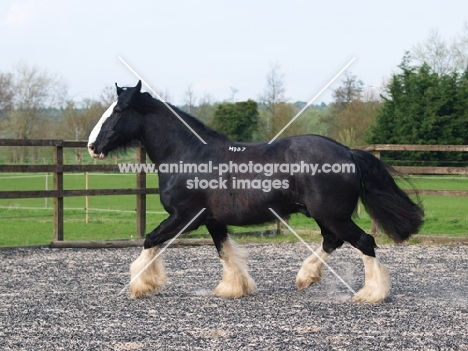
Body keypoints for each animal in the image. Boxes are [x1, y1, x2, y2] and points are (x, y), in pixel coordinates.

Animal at [88, 81, 424, 304]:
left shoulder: (184, 217)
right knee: (333, 241)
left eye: (119, 110)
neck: (188, 154)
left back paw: (371, 293)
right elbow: (224, 252)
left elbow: (150, 240)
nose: (92, 146)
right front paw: (234, 288)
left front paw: (140, 286)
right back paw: (306, 277)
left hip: (332, 215)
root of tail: (348, 152)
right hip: (326, 215)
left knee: (364, 242)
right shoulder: (212, 221)